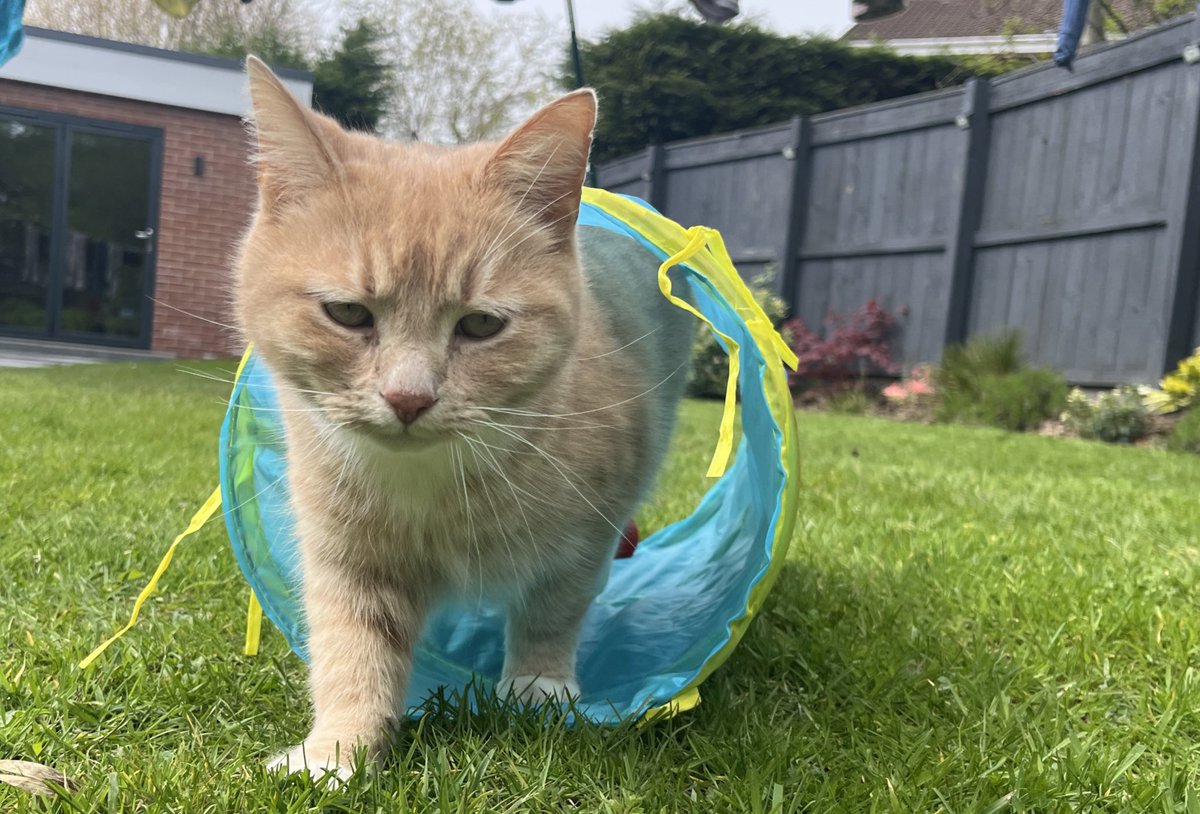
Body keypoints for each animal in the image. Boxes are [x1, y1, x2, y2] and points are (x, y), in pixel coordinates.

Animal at [235, 57, 696, 777]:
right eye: (348, 313)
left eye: (480, 325)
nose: (408, 398)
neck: (433, 485)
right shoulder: (346, 554)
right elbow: (352, 645)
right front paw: (336, 751)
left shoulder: (588, 531)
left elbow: (553, 606)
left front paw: (538, 686)